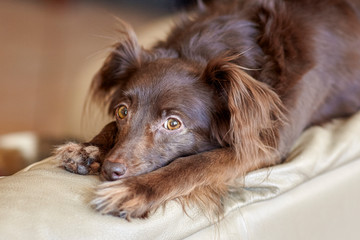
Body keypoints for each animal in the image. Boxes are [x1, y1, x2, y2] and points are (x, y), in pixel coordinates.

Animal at [53, 0, 360, 219]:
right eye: (122, 112)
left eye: (173, 124)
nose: (110, 169)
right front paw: (87, 149)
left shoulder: (265, 142)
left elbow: (194, 164)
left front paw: (133, 191)